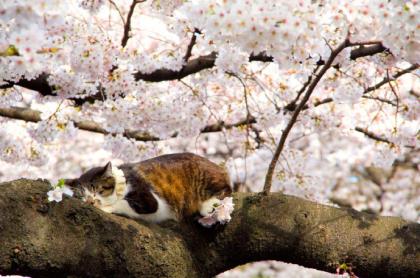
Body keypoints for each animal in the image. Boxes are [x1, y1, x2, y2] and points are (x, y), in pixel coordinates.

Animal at [65, 153, 233, 223]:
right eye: (81, 196)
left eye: (97, 190)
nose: (90, 201)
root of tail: (219, 166)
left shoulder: (149, 199)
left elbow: (124, 203)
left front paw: (105, 207)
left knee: (226, 189)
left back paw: (208, 205)